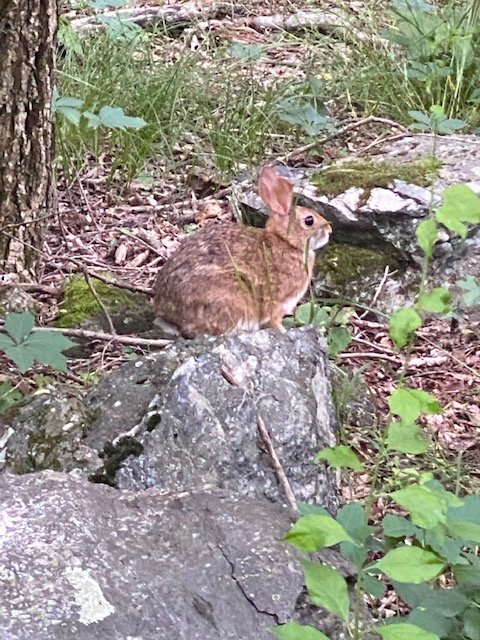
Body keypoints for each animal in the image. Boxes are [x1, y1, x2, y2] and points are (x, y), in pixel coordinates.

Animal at [153, 165, 332, 337]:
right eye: (309, 220)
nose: (329, 230)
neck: (286, 242)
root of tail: (167, 311)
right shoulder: (277, 302)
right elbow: (274, 321)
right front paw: (284, 332)